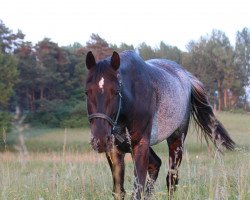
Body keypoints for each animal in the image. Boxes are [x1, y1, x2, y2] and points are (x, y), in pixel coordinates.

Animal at [85, 50, 235, 199]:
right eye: (87, 92)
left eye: (116, 92)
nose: (100, 140)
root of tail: (186, 77)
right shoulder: (114, 150)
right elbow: (119, 191)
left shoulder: (140, 145)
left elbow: (137, 191)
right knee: (156, 164)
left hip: (176, 140)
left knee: (171, 178)